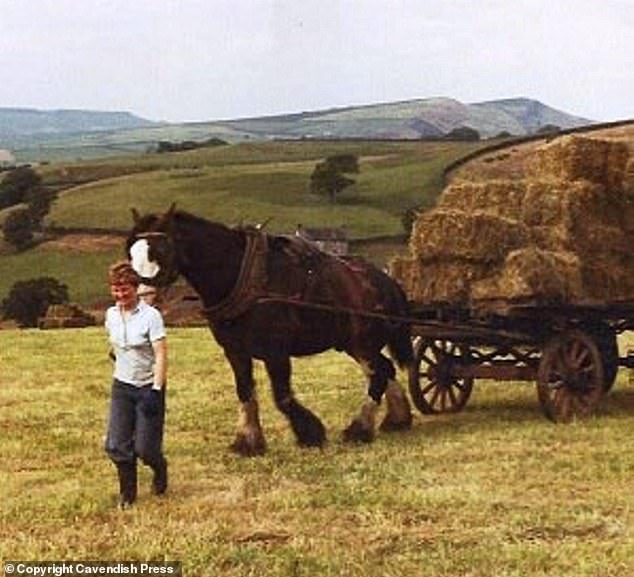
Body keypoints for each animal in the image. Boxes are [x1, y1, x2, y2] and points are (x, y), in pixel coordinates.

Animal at [128, 206, 412, 454]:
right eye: (131, 251)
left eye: (160, 250)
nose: (144, 297)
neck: (242, 276)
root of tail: (387, 280)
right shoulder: (235, 351)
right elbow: (245, 391)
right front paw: (248, 440)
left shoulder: (276, 352)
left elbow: (282, 396)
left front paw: (310, 433)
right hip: (353, 344)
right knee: (385, 369)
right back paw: (397, 419)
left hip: (363, 342)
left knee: (378, 374)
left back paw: (360, 429)